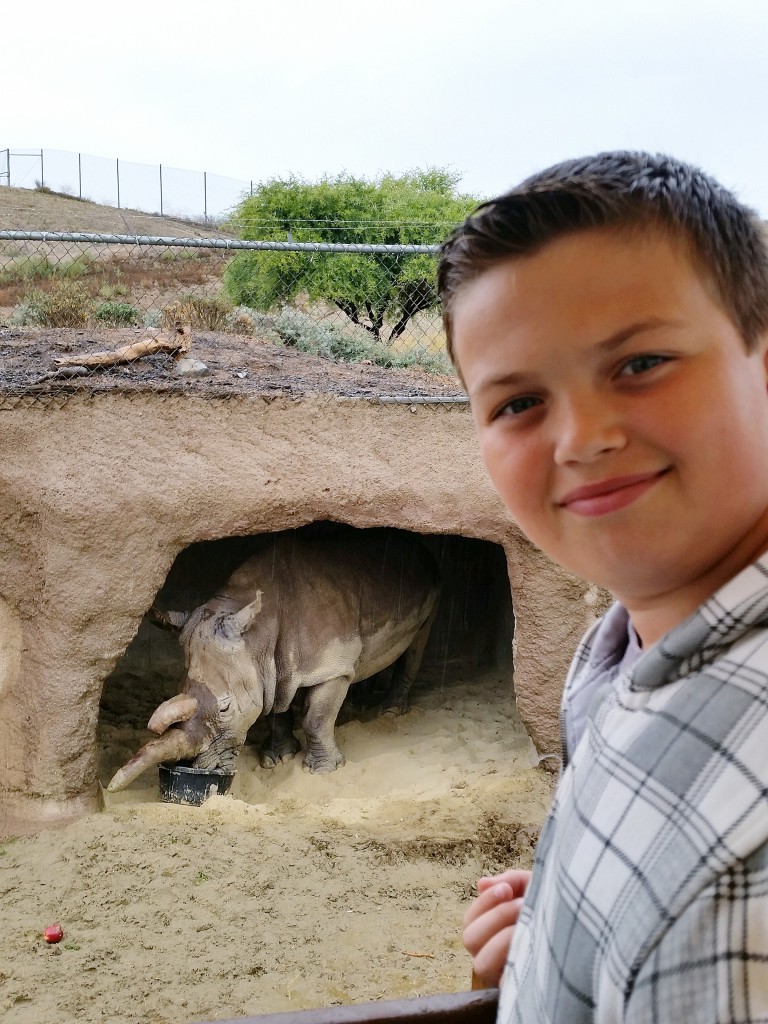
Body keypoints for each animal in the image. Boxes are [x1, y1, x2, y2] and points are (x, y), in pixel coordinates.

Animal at [110, 528, 442, 790]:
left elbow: (316, 719)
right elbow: (274, 709)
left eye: (225, 709)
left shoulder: (330, 667)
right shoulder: (268, 669)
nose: (195, 765)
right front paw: (279, 759)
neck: (259, 632)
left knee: (417, 642)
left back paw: (390, 713)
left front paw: (323, 770)